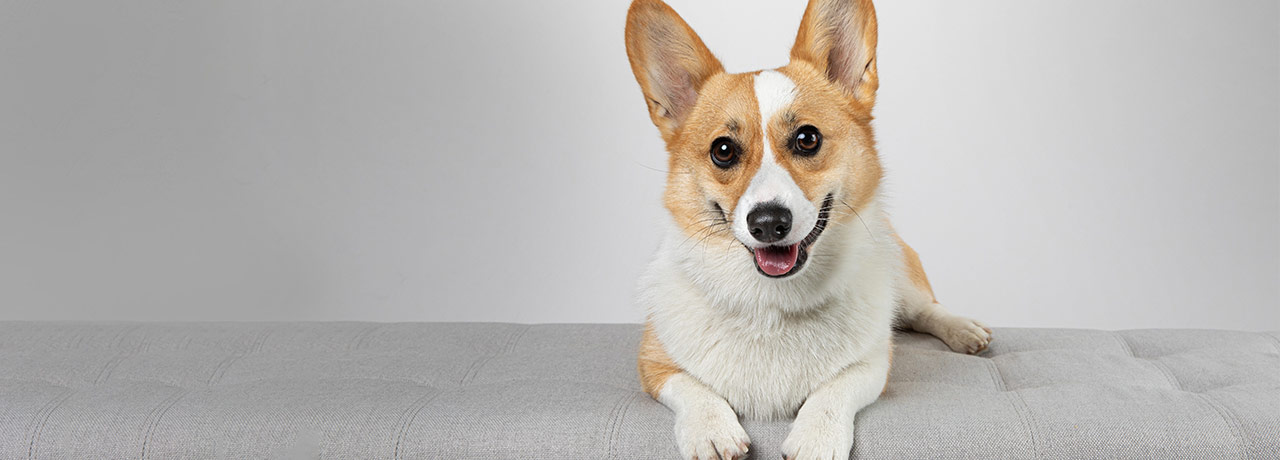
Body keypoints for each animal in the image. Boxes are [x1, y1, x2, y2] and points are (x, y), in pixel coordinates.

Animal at [624, 0, 993, 458]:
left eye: (807, 138)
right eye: (722, 150)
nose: (768, 223)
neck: (772, 304)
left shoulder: (873, 364)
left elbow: (834, 389)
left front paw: (816, 437)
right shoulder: (653, 365)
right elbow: (692, 388)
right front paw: (710, 430)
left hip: (900, 273)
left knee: (924, 309)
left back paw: (964, 330)